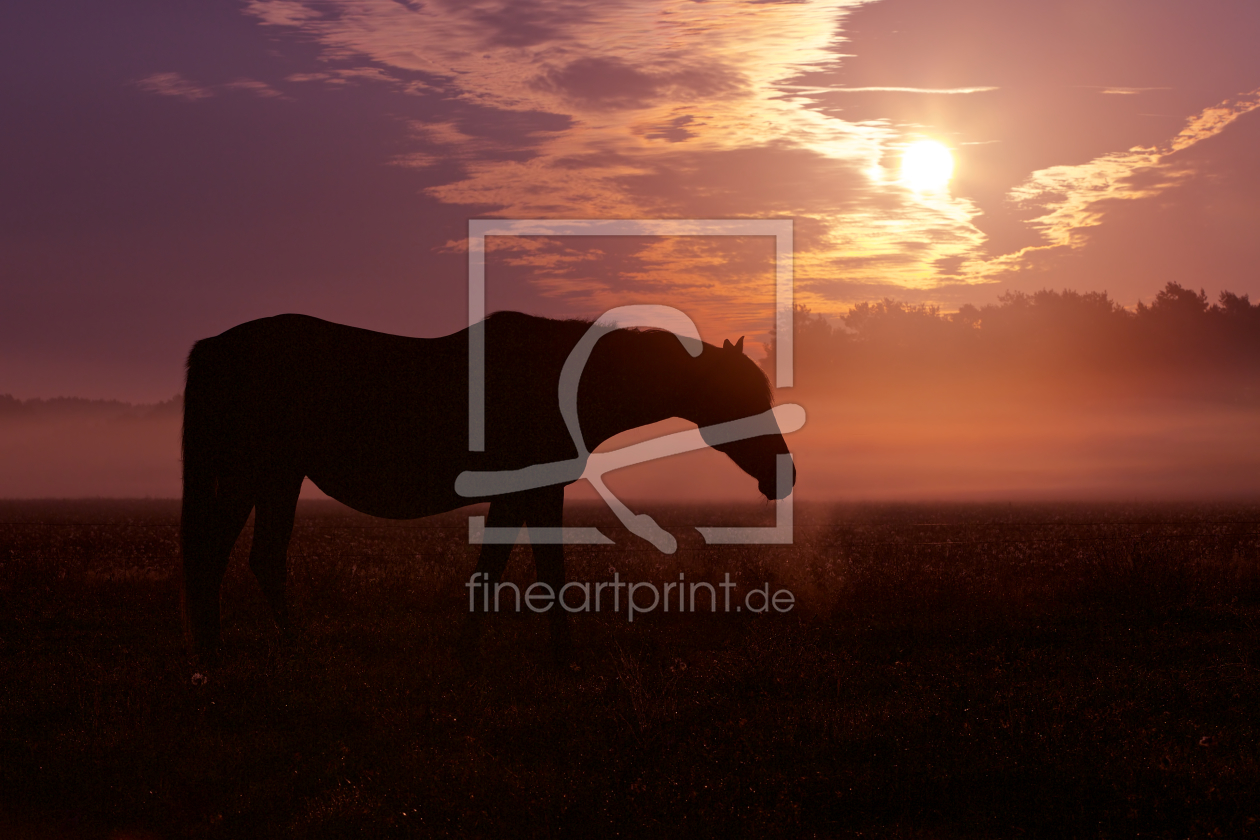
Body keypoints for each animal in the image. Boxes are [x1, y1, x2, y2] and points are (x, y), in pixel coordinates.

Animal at [180, 311, 796, 664]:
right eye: (744, 398)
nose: (784, 474)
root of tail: (216, 346)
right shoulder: (527, 489)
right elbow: (527, 569)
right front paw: (544, 656)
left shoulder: (527, 493)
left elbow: (511, 568)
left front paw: (497, 651)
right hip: (257, 471)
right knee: (221, 555)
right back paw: (225, 655)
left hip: (273, 475)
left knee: (253, 557)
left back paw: (271, 649)